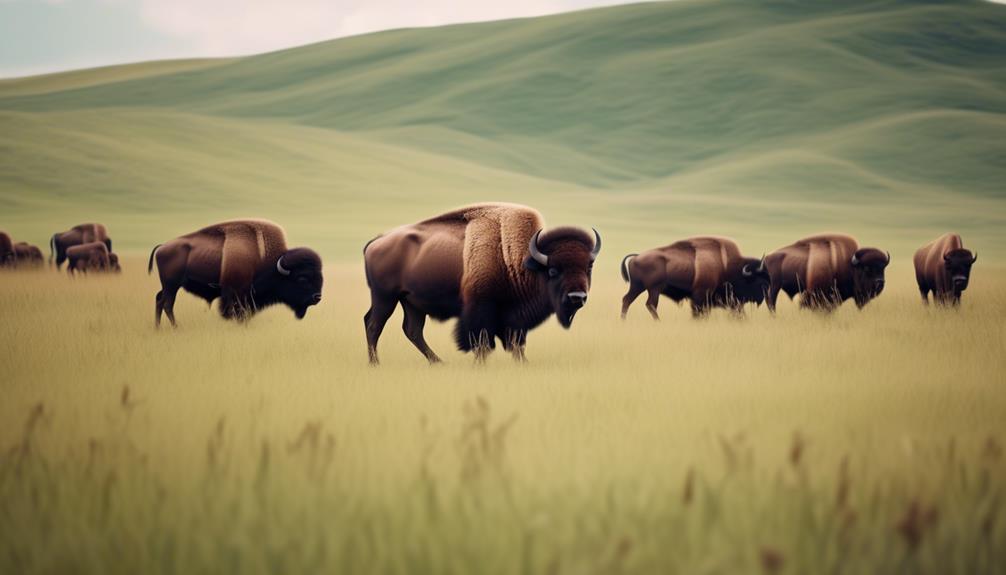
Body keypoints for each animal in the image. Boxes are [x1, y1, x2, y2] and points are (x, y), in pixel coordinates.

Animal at [148, 219, 323, 327]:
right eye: (302, 278)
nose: (317, 297)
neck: (267, 261)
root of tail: (163, 247)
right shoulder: (236, 293)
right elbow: (236, 312)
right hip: (172, 285)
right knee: (167, 303)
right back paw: (176, 327)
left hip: (169, 286)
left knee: (159, 300)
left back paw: (158, 328)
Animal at [363, 203, 601, 364]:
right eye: (553, 271)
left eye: (588, 267)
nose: (577, 297)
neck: (517, 258)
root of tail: (376, 241)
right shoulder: (481, 310)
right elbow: (481, 343)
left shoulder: (514, 319)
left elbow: (517, 344)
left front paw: (523, 363)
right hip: (385, 297)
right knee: (374, 325)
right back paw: (376, 364)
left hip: (411, 302)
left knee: (412, 330)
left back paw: (438, 362)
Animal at [620, 236, 769, 319]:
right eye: (759, 280)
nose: (762, 297)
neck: (727, 266)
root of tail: (637, 257)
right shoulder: (702, 295)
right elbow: (699, 311)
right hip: (653, 289)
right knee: (650, 304)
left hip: (638, 287)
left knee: (627, 300)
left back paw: (623, 320)